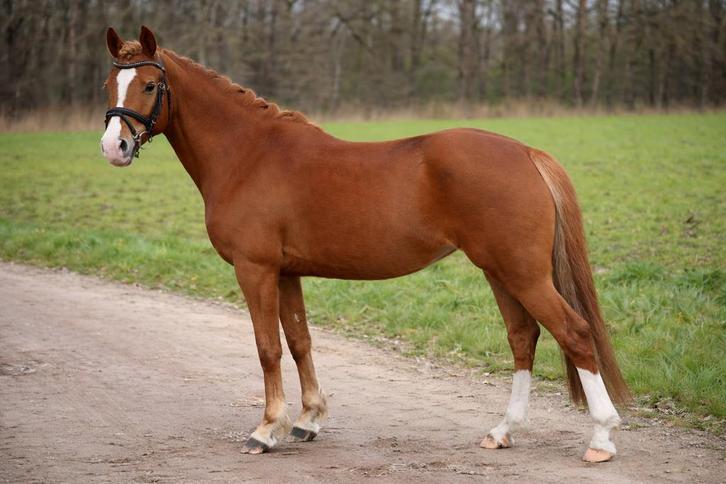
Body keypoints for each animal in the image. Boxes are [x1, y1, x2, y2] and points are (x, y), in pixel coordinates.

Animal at [100, 26, 631, 463]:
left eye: (150, 85)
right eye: (109, 85)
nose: (113, 148)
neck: (248, 154)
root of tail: (525, 152)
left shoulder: (255, 269)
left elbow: (267, 347)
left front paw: (266, 430)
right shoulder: (287, 272)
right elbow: (299, 342)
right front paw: (308, 420)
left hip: (523, 273)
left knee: (574, 333)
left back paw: (601, 438)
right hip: (500, 271)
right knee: (523, 337)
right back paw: (503, 431)